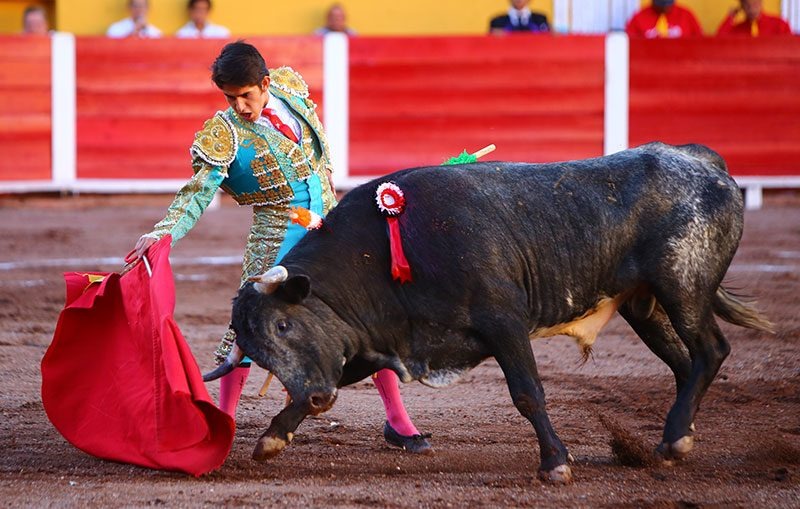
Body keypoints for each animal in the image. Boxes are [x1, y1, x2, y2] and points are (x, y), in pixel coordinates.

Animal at [209, 142, 773, 483]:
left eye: (284, 324)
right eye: (259, 354)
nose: (318, 397)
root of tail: (701, 161)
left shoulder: (503, 322)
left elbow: (527, 393)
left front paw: (556, 465)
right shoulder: (372, 344)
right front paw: (272, 438)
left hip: (683, 287)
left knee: (710, 350)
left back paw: (675, 440)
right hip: (644, 304)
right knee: (686, 364)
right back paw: (674, 439)